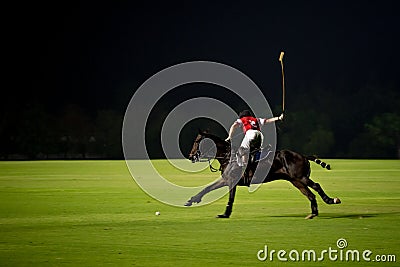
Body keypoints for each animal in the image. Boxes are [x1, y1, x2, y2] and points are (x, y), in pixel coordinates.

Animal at [185, 131, 340, 220]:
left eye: (197, 141)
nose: (191, 156)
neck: (228, 155)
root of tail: (303, 156)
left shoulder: (230, 180)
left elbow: (225, 195)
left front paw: (225, 214)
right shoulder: (228, 180)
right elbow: (208, 188)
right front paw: (192, 200)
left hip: (301, 178)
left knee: (317, 186)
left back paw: (331, 200)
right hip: (296, 181)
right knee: (310, 194)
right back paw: (313, 213)